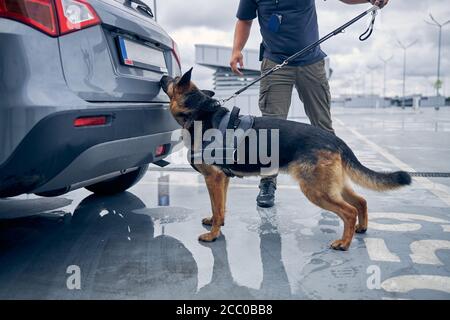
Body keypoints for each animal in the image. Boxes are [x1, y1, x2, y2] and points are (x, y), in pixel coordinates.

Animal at [161, 69, 412, 251]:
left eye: (174, 79)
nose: (162, 76)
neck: (198, 112)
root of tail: (335, 139)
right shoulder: (222, 180)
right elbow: (219, 208)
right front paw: (216, 223)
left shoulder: (213, 179)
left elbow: (217, 206)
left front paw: (213, 234)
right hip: (331, 185)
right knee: (361, 201)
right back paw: (362, 228)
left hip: (315, 190)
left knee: (349, 211)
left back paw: (344, 243)